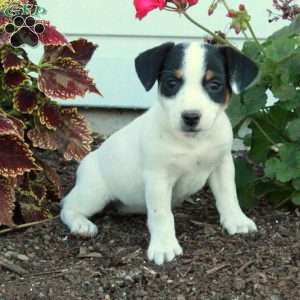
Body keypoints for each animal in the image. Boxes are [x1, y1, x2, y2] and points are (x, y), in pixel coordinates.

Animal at [60, 41, 258, 264]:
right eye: (172, 83)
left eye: (214, 85)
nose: (191, 117)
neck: (192, 142)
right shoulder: (158, 178)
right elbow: (162, 214)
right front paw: (164, 246)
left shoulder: (222, 165)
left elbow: (228, 194)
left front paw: (236, 220)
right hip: (93, 192)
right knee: (67, 206)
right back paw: (81, 225)